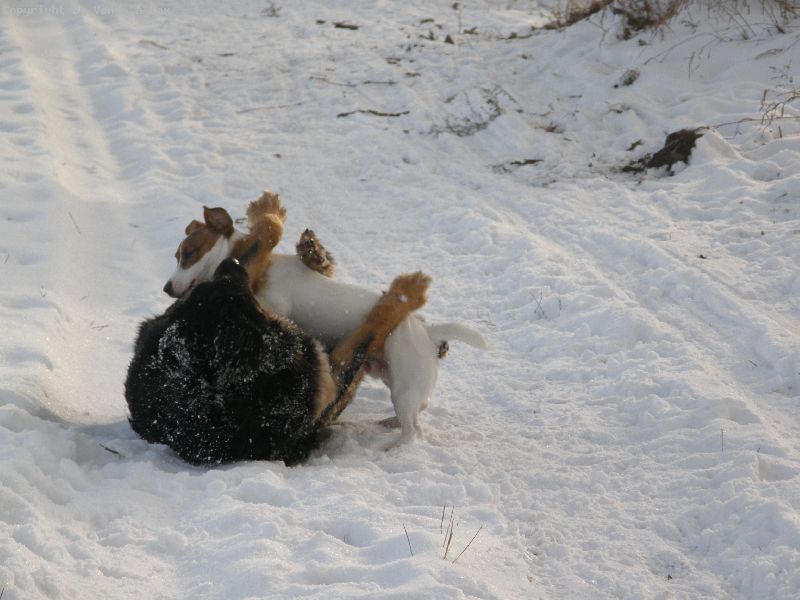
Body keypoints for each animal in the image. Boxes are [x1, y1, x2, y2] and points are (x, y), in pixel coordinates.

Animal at [126, 251, 430, 465]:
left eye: (211, 285)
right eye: (235, 289)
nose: (231, 261)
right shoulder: (329, 383)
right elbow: (372, 325)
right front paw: (407, 293)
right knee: (411, 427)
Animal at [164, 192, 487, 445]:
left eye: (188, 253)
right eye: (177, 256)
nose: (167, 287)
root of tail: (428, 333)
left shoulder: (273, 302)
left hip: (404, 385)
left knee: (413, 432)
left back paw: (393, 448)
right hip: (397, 380)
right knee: (418, 411)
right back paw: (389, 424)